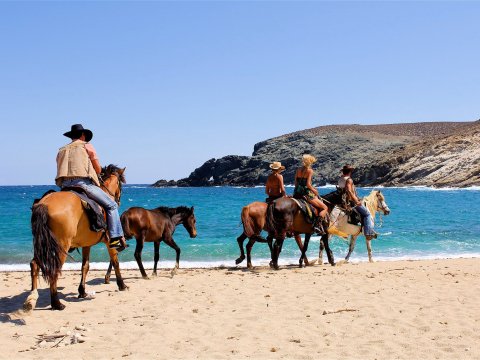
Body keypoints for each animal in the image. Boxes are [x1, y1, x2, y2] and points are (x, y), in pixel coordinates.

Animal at [22, 165, 127, 310]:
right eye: (120, 184)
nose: (119, 200)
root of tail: (45, 204)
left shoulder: (86, 244)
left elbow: (85, 266)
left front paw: (82, 291)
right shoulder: (108, 241)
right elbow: (115, 261)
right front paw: (121, 284)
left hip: (41, 244)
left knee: (34, 265)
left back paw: (31, 298)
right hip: (61, 246)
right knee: (55, 269)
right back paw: (56, 303)